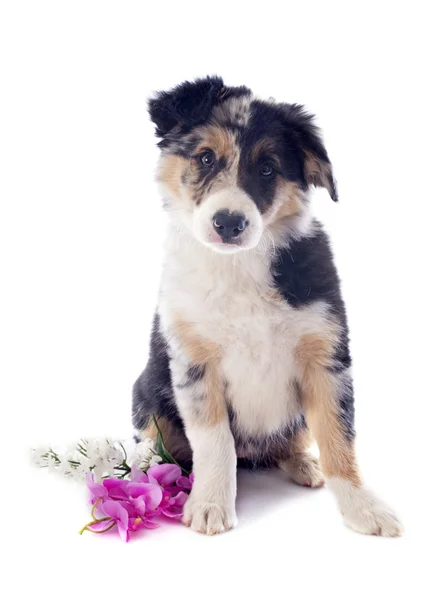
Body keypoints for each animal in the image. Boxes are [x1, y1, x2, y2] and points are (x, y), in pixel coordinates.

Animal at [132, 76, 402, 540]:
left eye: (267, 169)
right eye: (205, 158)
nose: (229, 223)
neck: (239, 265)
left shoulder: (327, 358)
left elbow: (339, 436)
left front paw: (364, 508)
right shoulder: (193, 362)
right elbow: (214, 441)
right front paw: (210, 504)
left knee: (293, 441)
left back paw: (304, 464)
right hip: (146, 392)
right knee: (155, 441)